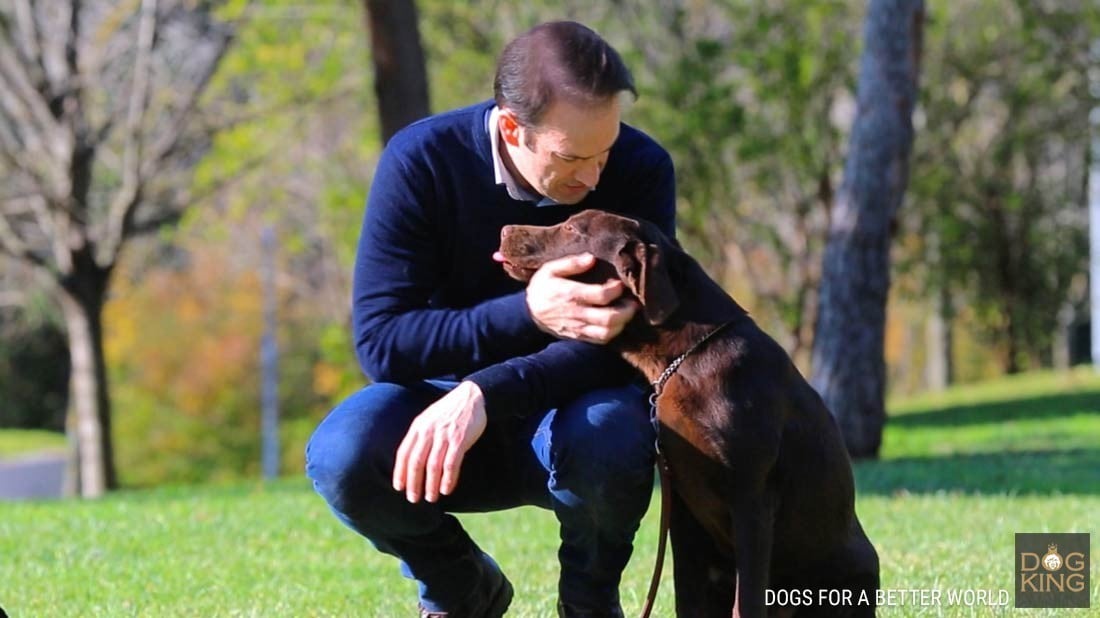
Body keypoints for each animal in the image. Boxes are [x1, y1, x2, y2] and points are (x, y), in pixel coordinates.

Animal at [499, 208, 875, 611]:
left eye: (571, 229)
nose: (505, 230)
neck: (684, 358)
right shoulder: (681, 502)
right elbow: (687, 592)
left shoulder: (751, 496)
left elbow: (748, 597)